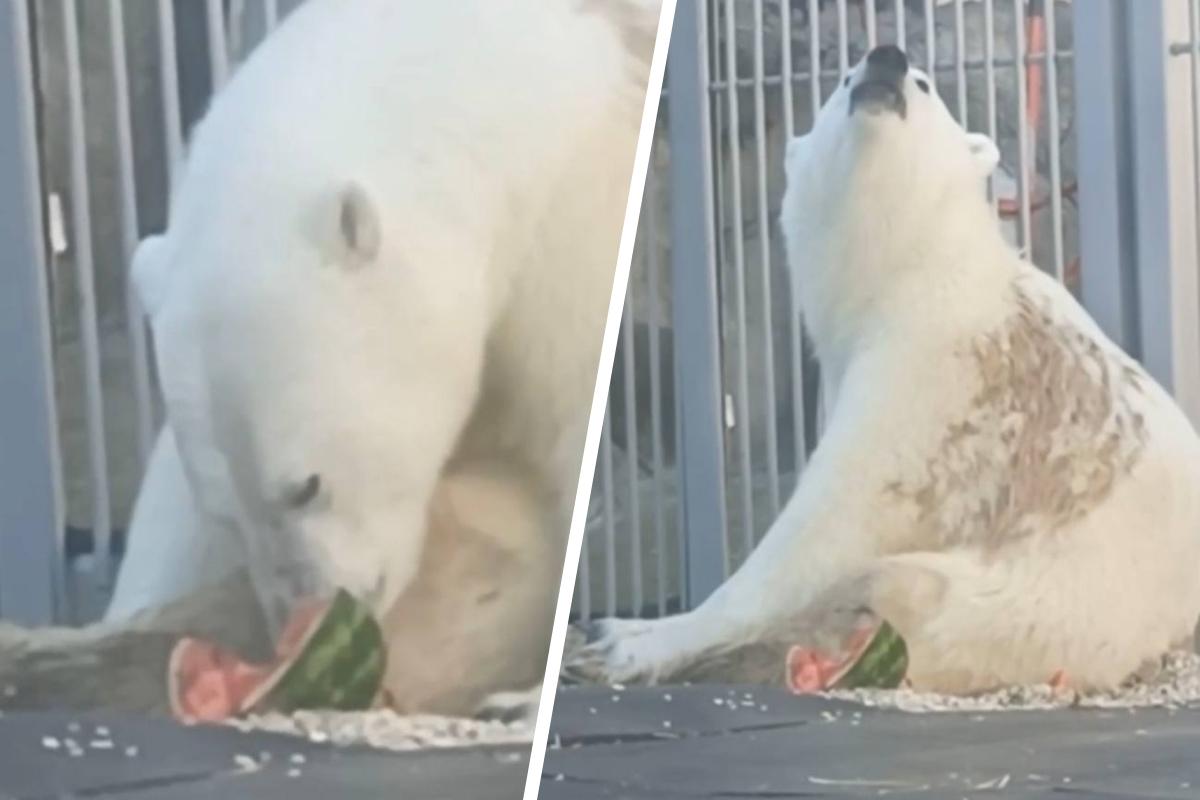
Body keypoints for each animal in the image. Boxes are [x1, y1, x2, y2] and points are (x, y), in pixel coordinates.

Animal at [566, 45, 1200, 695]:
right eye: (845, 78)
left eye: (924, 83)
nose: (885, 59)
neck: (913, 271)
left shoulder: (933, 370)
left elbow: (833, 521)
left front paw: (624, 637)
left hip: (1050, 608)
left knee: (912, 590)